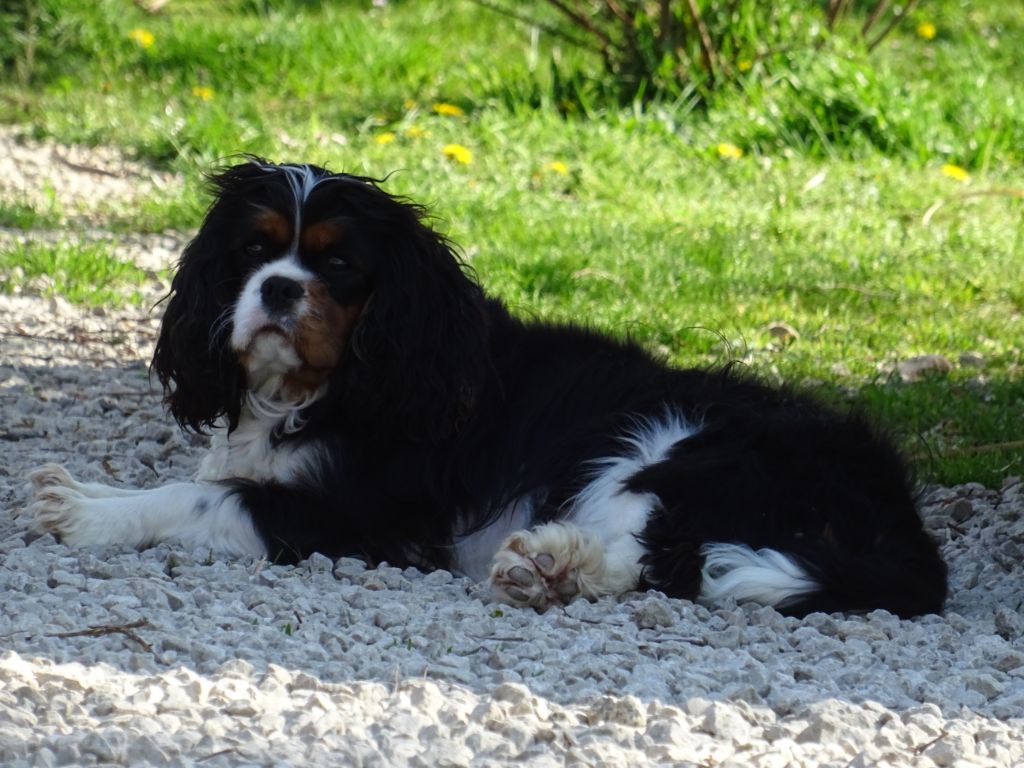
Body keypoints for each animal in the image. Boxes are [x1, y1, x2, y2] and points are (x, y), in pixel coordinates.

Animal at [28, 159, 947, 617]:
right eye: (253, 252)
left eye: (339, 265)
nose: (280, 290)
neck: (331, 383)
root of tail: (898, 510)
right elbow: (199, 479)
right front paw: (95, 492)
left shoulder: (368, 522)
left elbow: (203, 497)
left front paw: (83, 511)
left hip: (670, 445)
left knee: (662, 555)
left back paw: (552, 563)